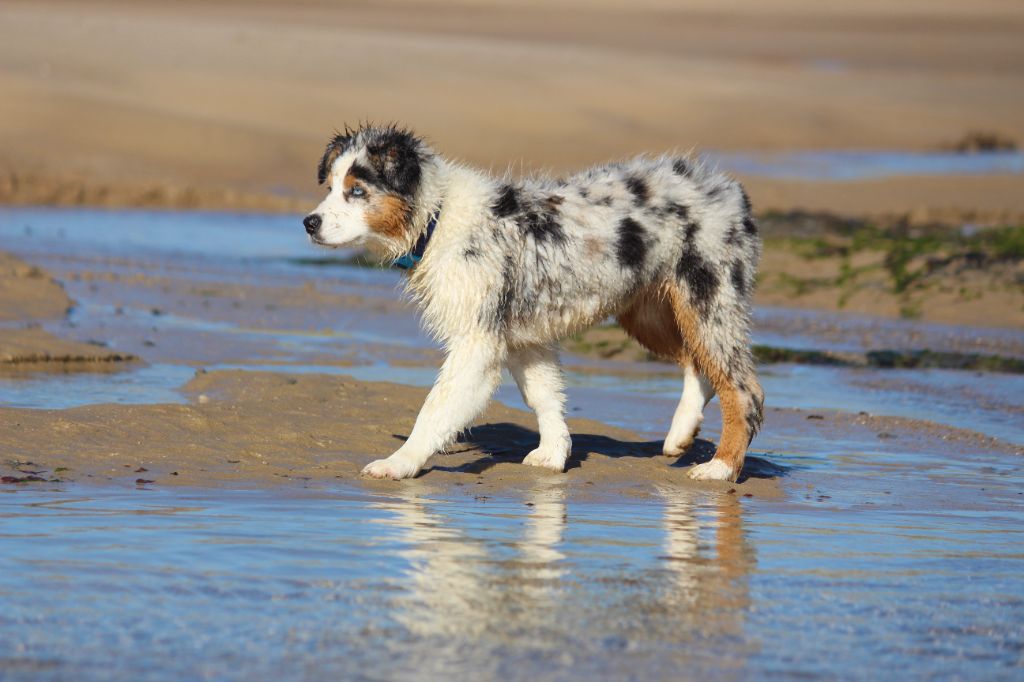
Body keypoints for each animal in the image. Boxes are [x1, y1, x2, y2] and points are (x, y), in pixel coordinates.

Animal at [299, 124, 765, 481]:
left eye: (357, 191)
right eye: (330, 187)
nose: (309, 223)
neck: (437, 217)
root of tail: (730, 190)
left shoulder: (477, 341)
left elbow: (436, 407)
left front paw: (399, 463)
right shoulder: (524, 338)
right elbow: (543, 394)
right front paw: (554, 454)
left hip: (706, 297)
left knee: (743, 388)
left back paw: (721, 467)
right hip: (649, 309)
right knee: (701, 365)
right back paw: (681, 434)